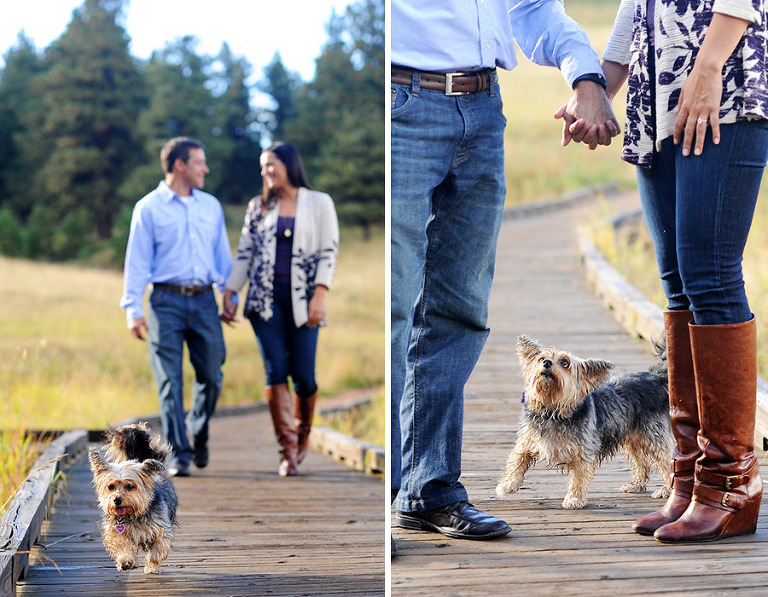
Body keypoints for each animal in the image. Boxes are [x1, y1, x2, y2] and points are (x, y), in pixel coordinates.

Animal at [498, 336, 672, 508]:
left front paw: (574, 498)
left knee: (667, 462)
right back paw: (637, 485)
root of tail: (656, 378)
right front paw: (507, 484)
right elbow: (517, 460)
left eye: (564, 362)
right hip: (633, 437)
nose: (546, 362)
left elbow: (579, 478)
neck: (552, 411)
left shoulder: (582, 452)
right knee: (641, 461)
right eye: (541, 358)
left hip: (653, 437)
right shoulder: (527, 440)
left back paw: (666, 490)